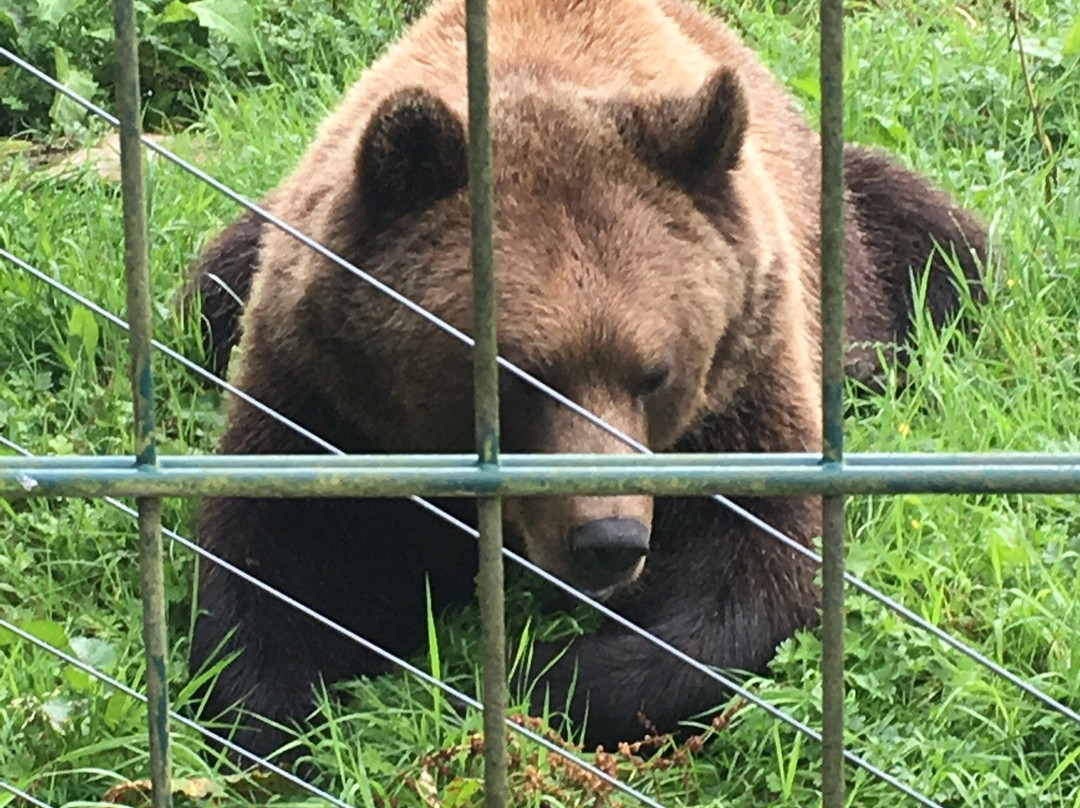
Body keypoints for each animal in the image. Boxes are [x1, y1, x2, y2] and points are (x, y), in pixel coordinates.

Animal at [185, 0, 989, 764]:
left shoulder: (743, 383)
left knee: (948, 244)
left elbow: (751, 574)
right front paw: (277, 719)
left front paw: (535, 673)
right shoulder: (329, 401)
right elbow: (278, 565)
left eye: (655, 373)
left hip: (859, 243)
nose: (608, 539)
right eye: (516, 377)